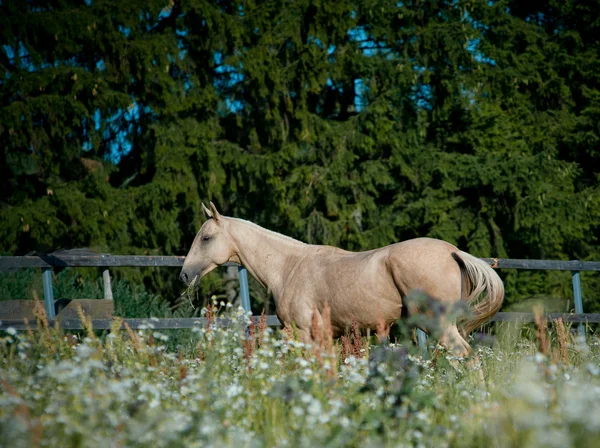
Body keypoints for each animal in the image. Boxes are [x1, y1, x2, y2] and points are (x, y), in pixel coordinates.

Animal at [180, 201, 504, 356]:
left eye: (206, 238)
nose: (184, 274)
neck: (289, 267)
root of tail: (453, 251)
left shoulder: (304, 334)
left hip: (439, 326)